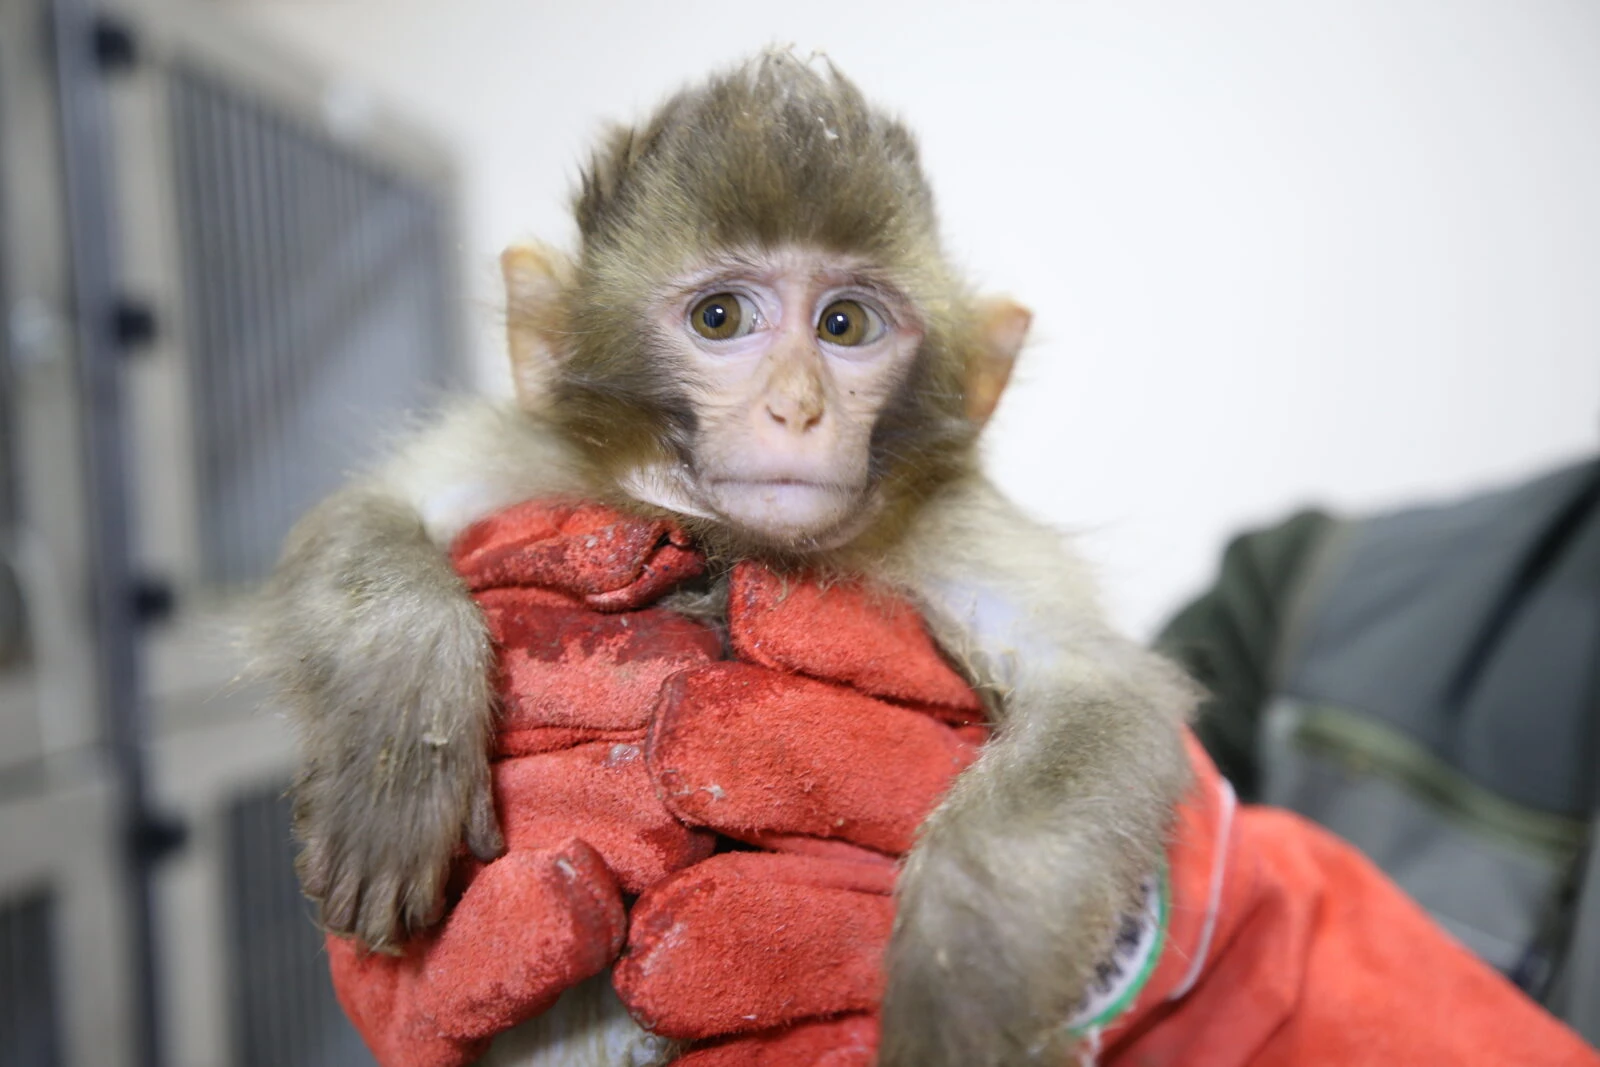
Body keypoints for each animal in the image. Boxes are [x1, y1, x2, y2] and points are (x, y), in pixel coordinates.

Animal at [256, 51, 1196, 1067]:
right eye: (719, 316)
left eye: (844, 325)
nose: (797, 407)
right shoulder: (532, 457)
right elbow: (367, 512)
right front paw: (401, 733)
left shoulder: (954, 527)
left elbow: (1102, 693)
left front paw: (961, 989)